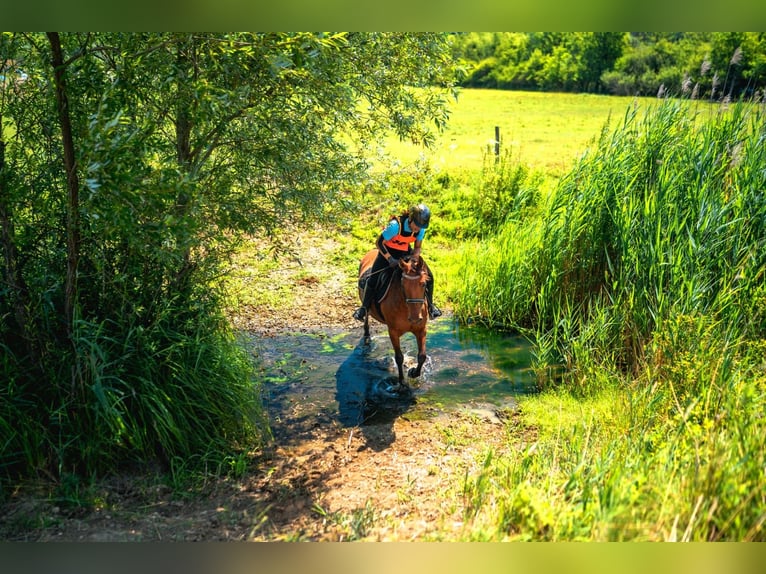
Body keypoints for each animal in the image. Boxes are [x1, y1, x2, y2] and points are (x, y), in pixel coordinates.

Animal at [357, 249, 429, 390]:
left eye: (423, 284)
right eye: (403, 285)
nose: (415, 318)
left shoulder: (421, 329)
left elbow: (422, 356)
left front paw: (413, 372)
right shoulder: (393, 332)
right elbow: (399, 357)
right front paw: (402, 382)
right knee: (366, 313)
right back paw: (366, 335)